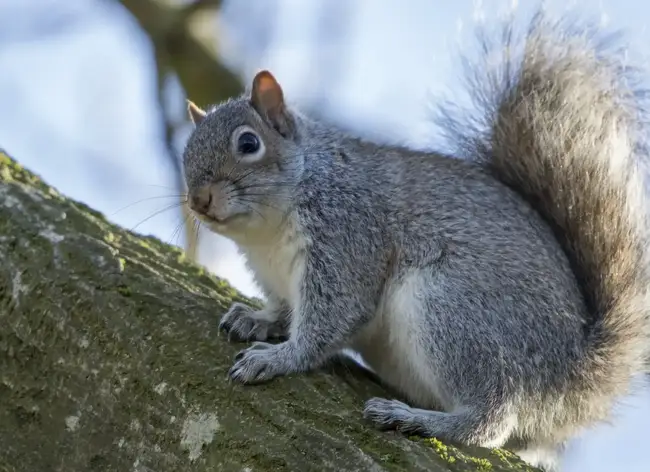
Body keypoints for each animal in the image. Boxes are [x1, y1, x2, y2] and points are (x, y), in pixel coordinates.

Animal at [182, 10, 650, 471]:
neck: (267, 234)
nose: (199, 199)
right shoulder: (275, 275)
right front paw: (257, 319)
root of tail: (569, 373)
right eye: (186, 153)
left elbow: (331, 319)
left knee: (490, 418)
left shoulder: (348, 235)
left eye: (249, 143)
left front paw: (278, 358)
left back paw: (417, 419)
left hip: (452, 308)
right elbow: (283, 309)